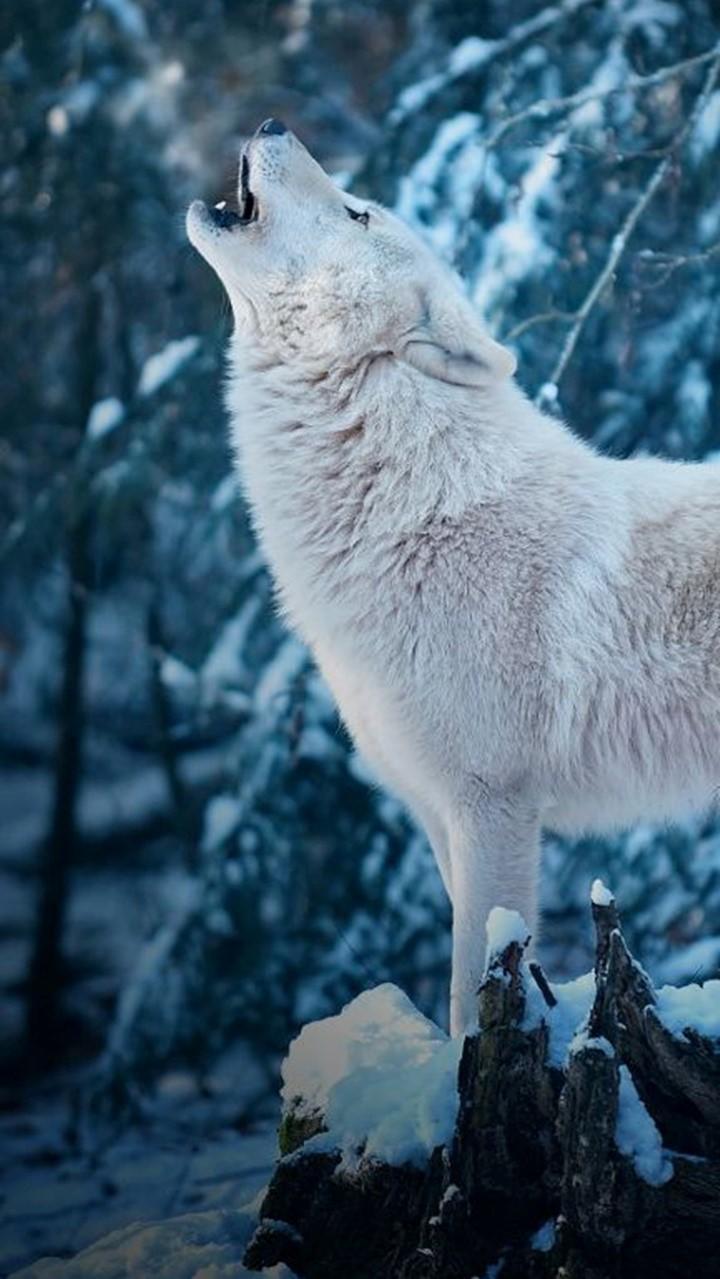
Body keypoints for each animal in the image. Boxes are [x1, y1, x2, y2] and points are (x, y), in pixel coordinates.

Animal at [187, 119, 720, 1035]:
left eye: (358, 212)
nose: (271, 123)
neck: (409, 505)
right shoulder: (435, 810)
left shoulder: (493, 806)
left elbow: (473, 979)